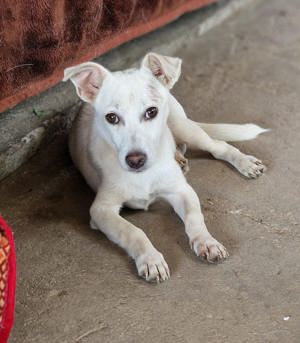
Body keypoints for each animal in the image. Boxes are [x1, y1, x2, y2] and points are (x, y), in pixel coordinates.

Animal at [63, 52, 268, 284]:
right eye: (111, 117)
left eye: (151, 112)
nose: (135, 160)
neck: (143, 175)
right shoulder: (101, 210)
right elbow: (133, 231)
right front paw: (151, 260)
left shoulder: (182, 191)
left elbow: (195, 218)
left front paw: (207, 242)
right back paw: (179, 157)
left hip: (183, 126)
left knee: (218, 146)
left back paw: (244, 162)